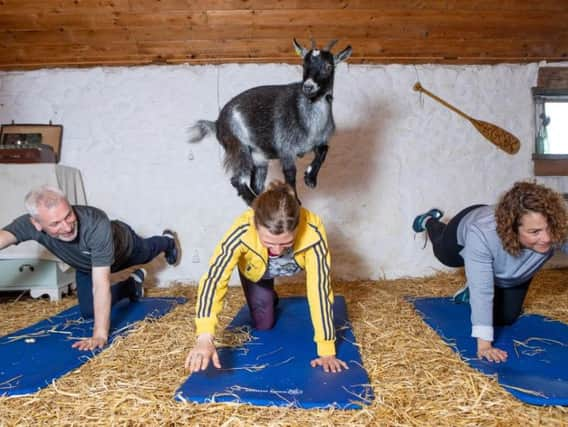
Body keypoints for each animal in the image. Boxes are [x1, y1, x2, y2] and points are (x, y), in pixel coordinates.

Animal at [189, 38, 352, 206]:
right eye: (304, 64)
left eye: (328, 66)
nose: (308, 86)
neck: (311, 126)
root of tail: (217, 123)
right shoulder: (286, 150)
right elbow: (290, 176)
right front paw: (297, 201)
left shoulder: (317, 143)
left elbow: (324, 151)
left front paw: (310, 179)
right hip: (238, 147)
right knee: (238, 180)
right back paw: (254, 202)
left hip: (258, 157)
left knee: (255, 184)